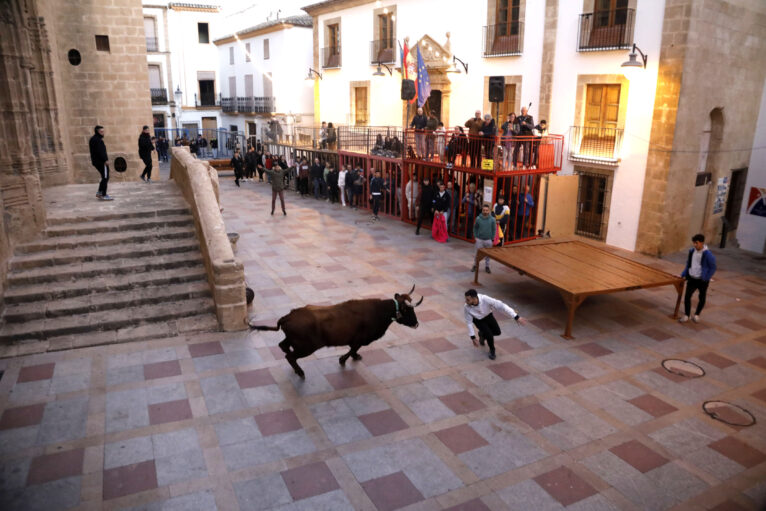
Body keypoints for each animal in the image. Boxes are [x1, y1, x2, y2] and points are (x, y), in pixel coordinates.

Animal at [249, 286, 424, 378]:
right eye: (408, 310)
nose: (416, 324)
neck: (379, 311)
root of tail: (287, 317)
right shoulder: (358, 339)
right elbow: (352, 349)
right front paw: (342, 360)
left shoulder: (356, 340)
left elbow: (354, 350)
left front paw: (354, 357)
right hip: (306, 347)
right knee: (290, 356)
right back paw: (300, 372)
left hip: (293, 341)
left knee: (283, 346)